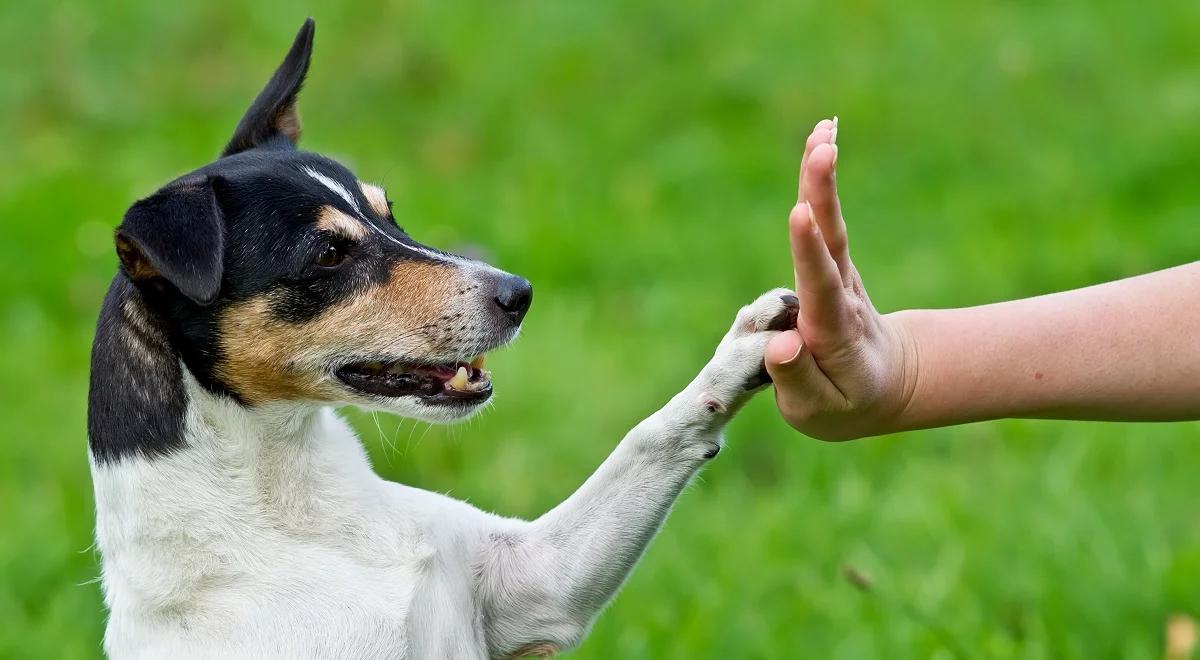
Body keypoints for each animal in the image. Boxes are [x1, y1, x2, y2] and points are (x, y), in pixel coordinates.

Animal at [87, 18, 796, 657]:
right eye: (328, 254)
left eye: (389, 214)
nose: (519, 292)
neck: (294, 510)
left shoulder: (538, 584)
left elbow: (650, 437)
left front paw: (743, 351)